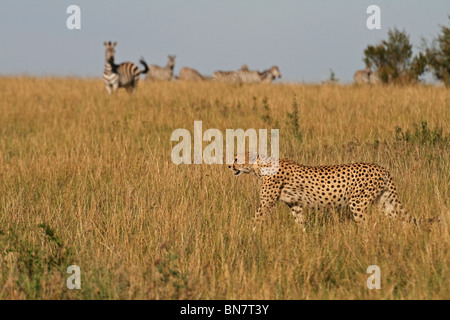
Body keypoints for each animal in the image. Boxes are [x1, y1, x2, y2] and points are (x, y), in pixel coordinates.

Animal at [227, 152, 438, 230]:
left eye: (237, 158)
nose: (229, 165)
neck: (260, 166)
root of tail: (382, 168)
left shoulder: (267, 203)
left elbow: (256, 218)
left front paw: (247, 233)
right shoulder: (295, 204)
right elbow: (300, 222)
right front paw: (304, 238)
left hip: (358, 203)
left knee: (367, 225)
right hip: (385, 202)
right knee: (399, 220)